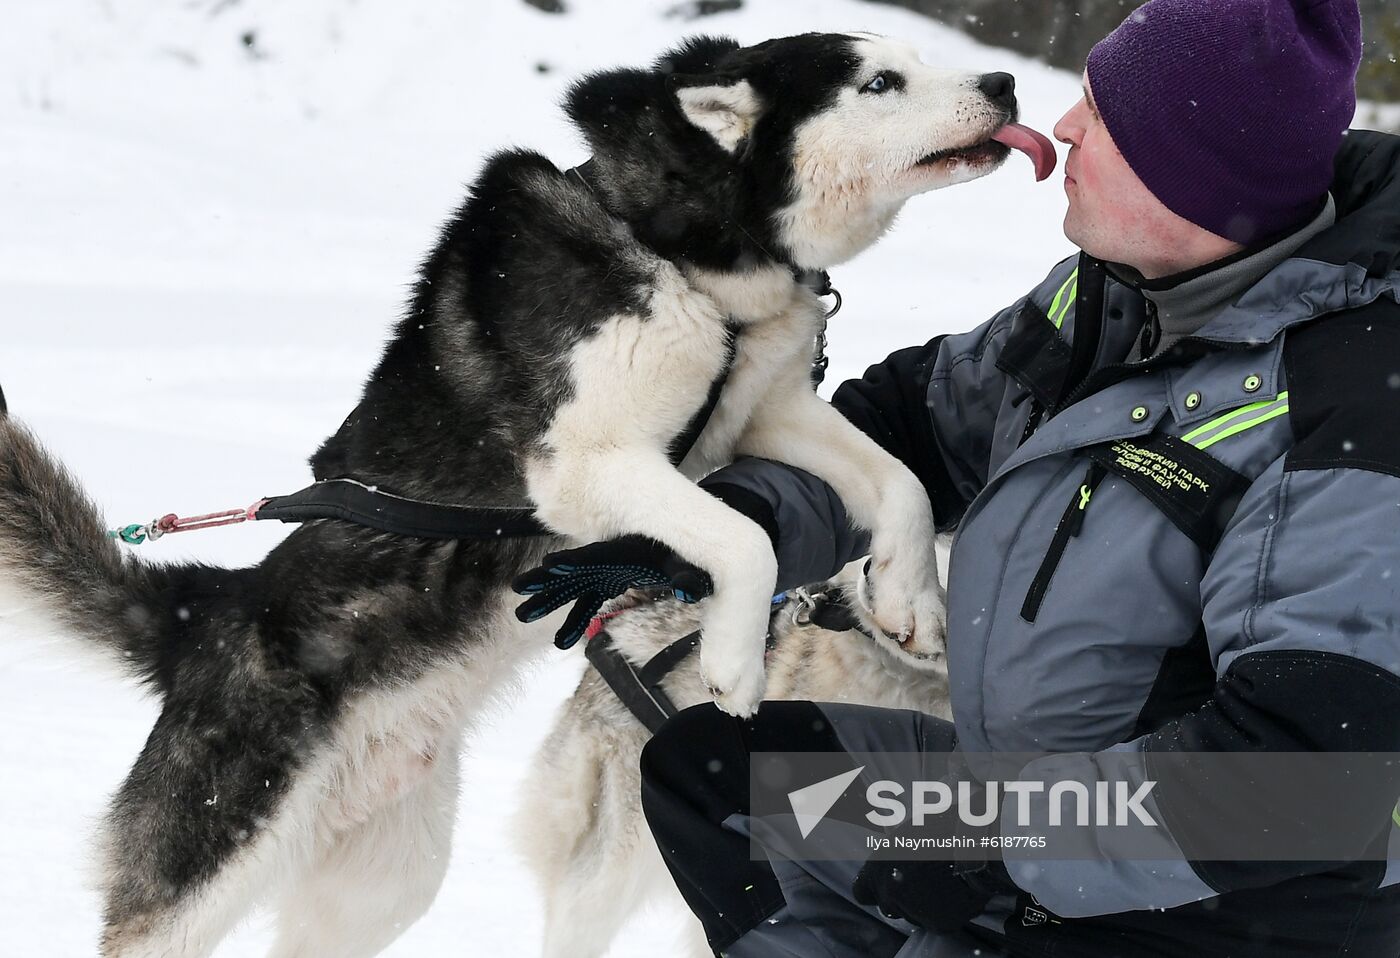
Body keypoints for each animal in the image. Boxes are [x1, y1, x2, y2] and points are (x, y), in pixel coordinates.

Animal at [0, 29, 1030, 958]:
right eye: (878, 82)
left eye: (911, 61)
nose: (1006, 82)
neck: (688, 257)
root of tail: (204, 612)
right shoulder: (589, 461)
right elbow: (745, 539)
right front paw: (736, 662)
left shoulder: (769, 410)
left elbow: (899, 479)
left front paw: (911, 601)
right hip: (214, 862)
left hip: (384, 889)